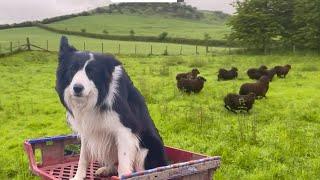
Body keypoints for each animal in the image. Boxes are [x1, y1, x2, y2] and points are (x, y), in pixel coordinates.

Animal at [55, 35, 168, 179]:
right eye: (72, 70)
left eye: (92, 73)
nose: (77, 88)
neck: (98, 97)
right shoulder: (86, 129)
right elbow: (83, 157)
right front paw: (78, 177)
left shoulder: (125, 131)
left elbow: (124, 165)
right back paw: (106, 169)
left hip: (146, 148)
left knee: (146, 171)